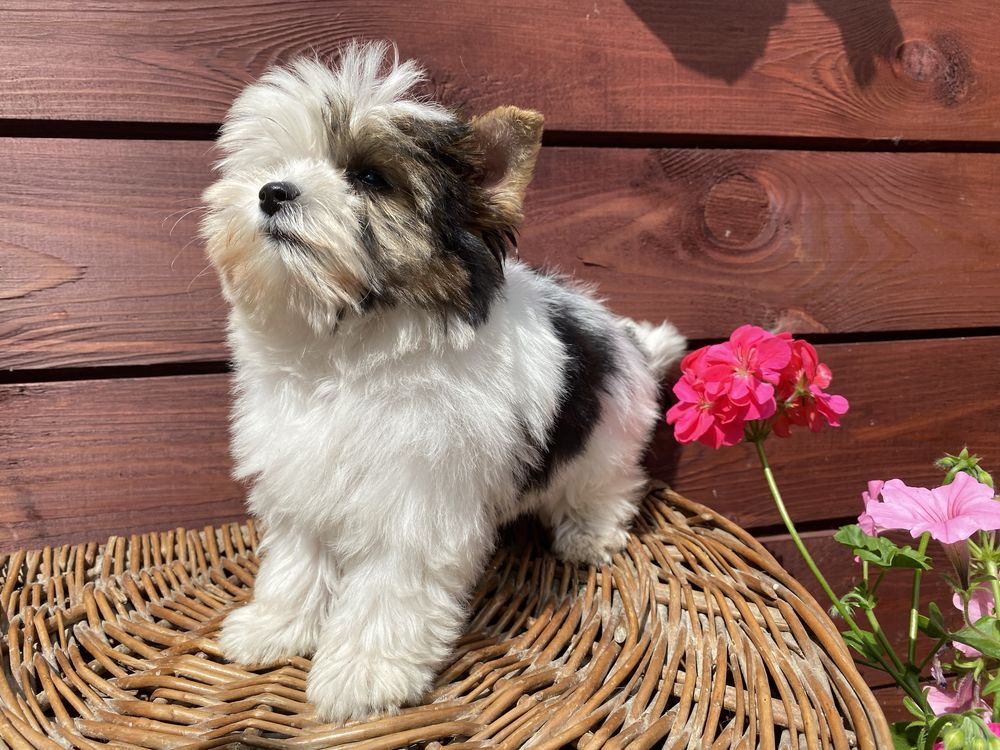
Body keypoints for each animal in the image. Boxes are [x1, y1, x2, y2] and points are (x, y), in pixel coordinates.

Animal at [203, 41, 688, 724]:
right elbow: (298, 557)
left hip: (607, 433)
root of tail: (628, 340)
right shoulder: (303, 471)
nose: (273, 192)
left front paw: (364, 671)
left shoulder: (417, 497)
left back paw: (588, 532)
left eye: (369, 179)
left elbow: (389, 584)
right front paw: (277, 626)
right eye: (273, 165)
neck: (349, 349)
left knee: (610, 482)